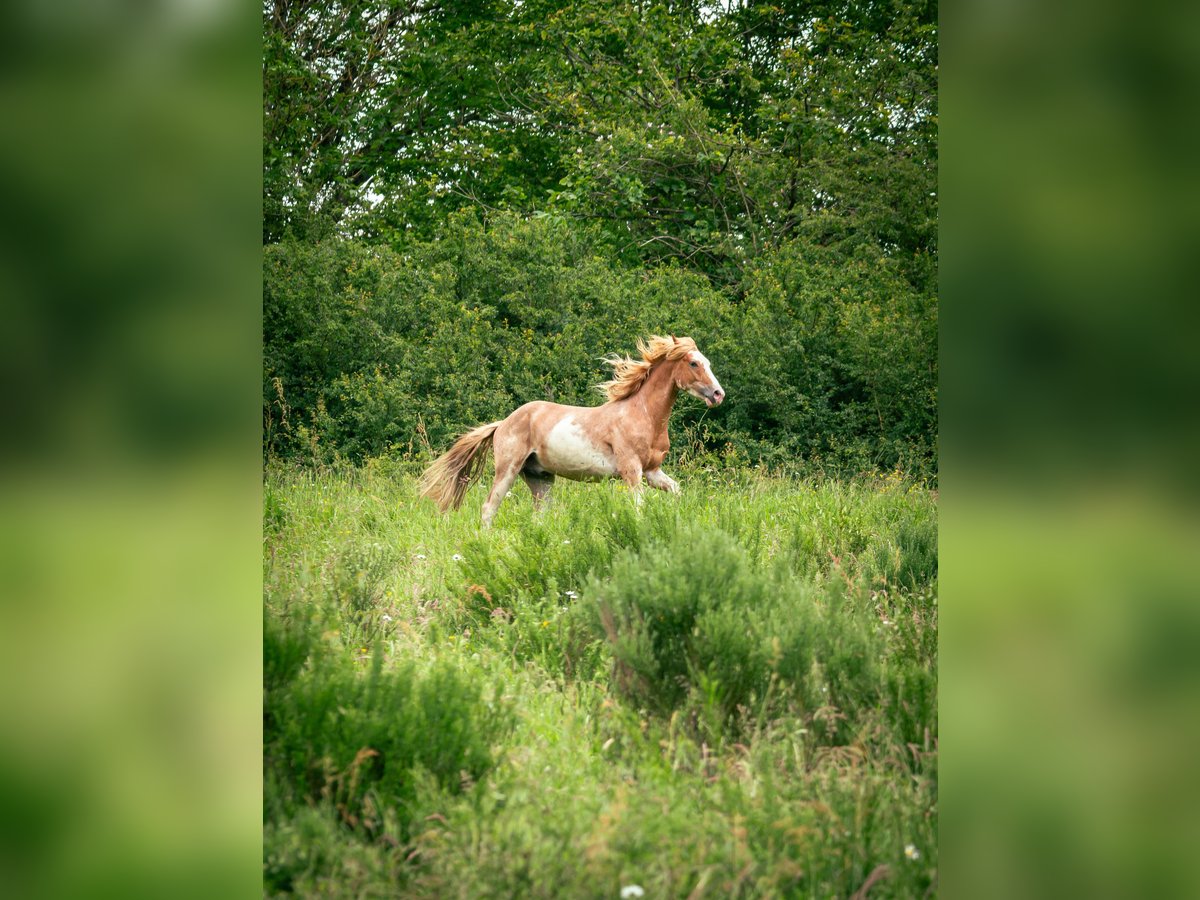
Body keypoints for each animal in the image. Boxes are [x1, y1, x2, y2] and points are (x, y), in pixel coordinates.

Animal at [422, 336, 720, 525]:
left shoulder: (652, 472)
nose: (718, 394)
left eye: (707, 361)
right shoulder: (631, 470)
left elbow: (678, 492)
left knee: (539, 516)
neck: (642, 414)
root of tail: (503, 423)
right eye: (693, 363)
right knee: (488, 508)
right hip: (508, 469)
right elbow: (639, 508)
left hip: (540, 478)